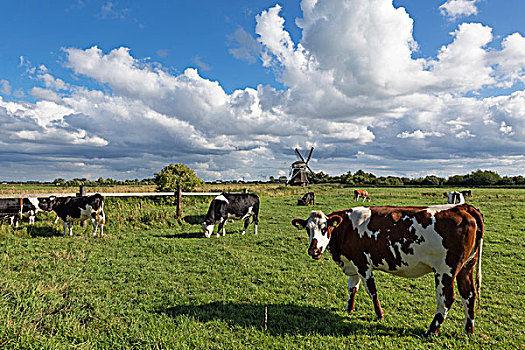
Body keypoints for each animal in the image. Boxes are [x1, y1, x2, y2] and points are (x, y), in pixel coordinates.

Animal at [290, 202, 484, 336]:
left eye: (325, 228)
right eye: (307, 229)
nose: (314, 250)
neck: (346, 229)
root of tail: (462, 207)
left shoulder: (363, 264)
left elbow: (371, 290)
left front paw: (380, 315)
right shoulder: (353, 264)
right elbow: (352, 288)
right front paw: (349, 310)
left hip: (445, 271)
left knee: (446, 299)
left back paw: (431, 331)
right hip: (466, 267)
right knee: (469, 294)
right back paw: (468, 330)